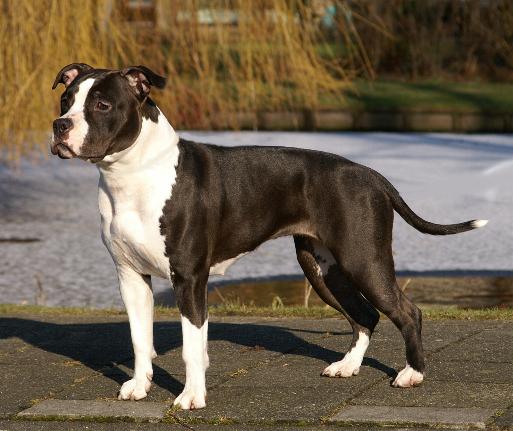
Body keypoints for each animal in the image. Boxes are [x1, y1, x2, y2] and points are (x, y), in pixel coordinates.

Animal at [50, 63, 487, 409]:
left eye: (102, 105)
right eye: (66, 101)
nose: (60, 125)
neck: (133, 173)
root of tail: (372, 175)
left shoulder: (189, 278)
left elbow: (192, 346)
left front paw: (191, 397)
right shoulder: (130, 277)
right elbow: (140, 339)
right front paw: (139, 386)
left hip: (364, 259)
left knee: (406, 311)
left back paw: (412, 373)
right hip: (323, 269)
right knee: (365, 315)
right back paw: (347, 366)